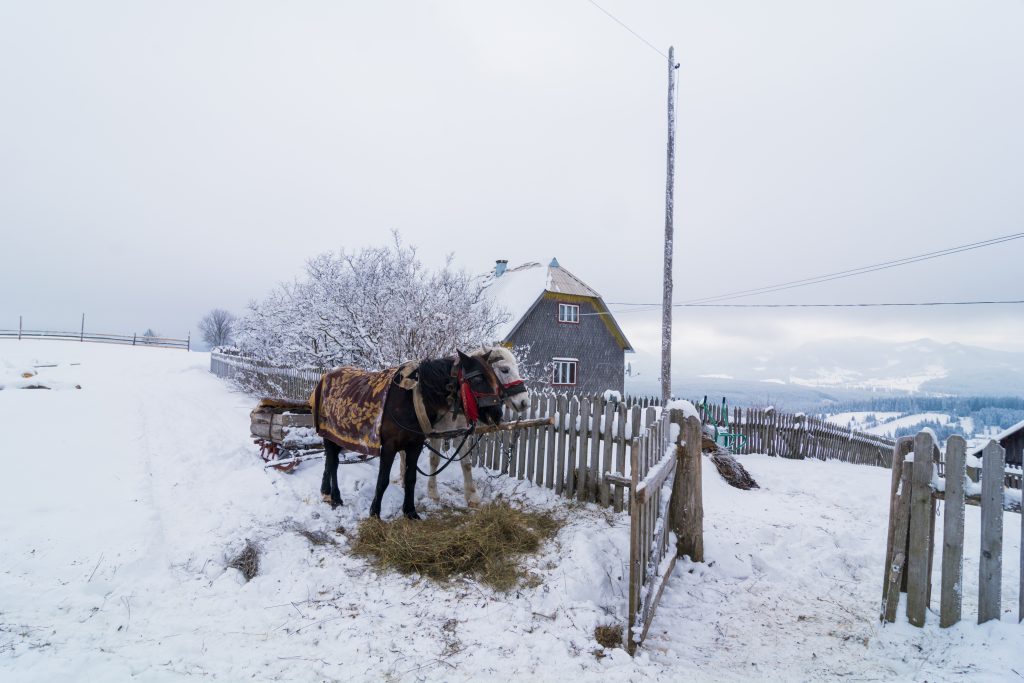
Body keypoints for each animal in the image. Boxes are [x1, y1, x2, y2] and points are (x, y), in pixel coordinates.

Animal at [319, 350, 507, 520]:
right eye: (478, 379)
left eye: (494, 377)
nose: (497, 414)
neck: (410, 400)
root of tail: (326, 375)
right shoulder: (389, 447)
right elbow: (383, 480)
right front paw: (375, 513)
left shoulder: (414, 445)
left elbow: (411, 478)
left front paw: (410, 512)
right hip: (330, 436)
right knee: (333, 463)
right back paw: (335, 497)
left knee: (332, 461)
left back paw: (328, 493)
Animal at [397, 350, 532, 505]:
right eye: (505, 370)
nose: (525, 402)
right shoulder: (436, 433)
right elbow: (434, 461)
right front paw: (433, 493)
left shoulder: (461, 434)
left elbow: (466, 463)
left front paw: (472, 495)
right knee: (403, 453)